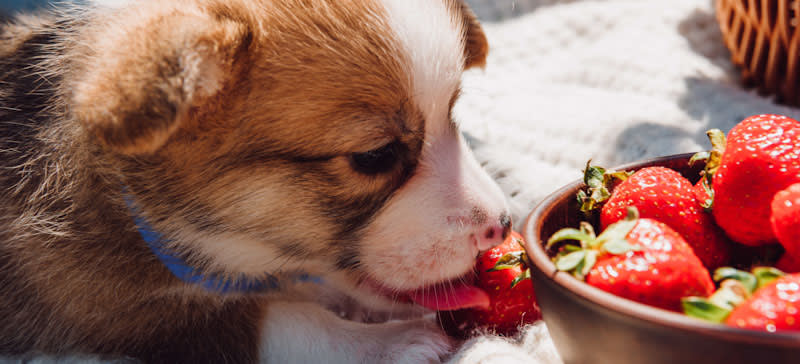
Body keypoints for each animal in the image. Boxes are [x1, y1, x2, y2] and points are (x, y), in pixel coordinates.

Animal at [0, 0, 510, 362]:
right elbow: (288, 320)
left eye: (453, 112)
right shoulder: (122, 315)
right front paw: (394, 342)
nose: (502, 225)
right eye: (375, 156)